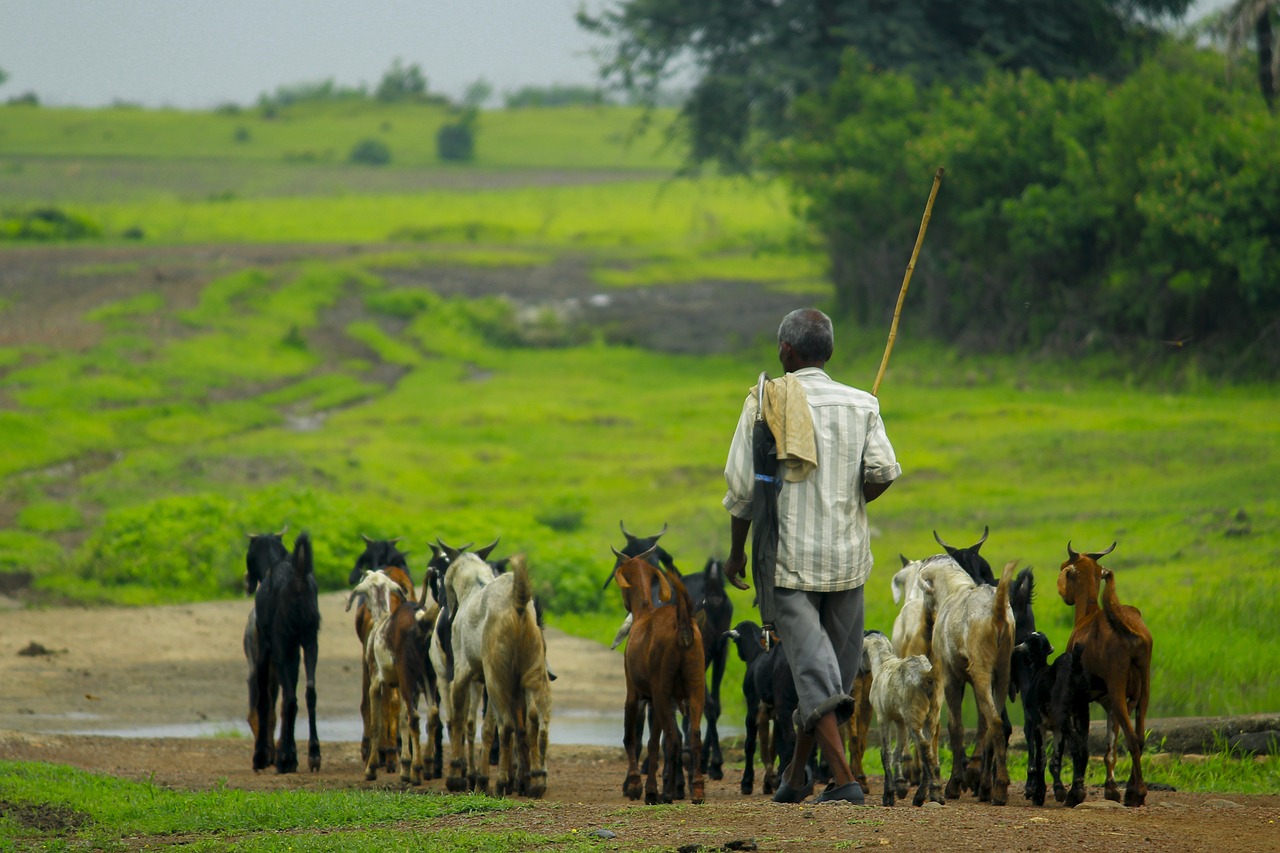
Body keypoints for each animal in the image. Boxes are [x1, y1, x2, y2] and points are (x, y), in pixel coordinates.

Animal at [248, 527, 320, 773]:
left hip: (279, 642)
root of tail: (298, 578)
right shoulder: (295, 649)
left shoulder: (264, 647)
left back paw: (285, 759)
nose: (247, 580)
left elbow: (264, 699)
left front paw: (261, 756)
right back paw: (313, 755)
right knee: (309, 691)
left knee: (289, 698)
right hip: (310, 638)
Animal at [611, 545, 706, 804]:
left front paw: (636, 786)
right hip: (696, 685)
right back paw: (697, 791)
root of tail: (683, 627)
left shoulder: (635, 691)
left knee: (673, 738)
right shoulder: (656, 698)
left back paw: (666, 792)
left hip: (662, 686)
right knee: (693, 735)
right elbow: (653, 741)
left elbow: (631, 737)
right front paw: (651, 788)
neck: (644, 611)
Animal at [865, 625, 947, 804]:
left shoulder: (883, 717)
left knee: (923, 746)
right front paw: (901, 786)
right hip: (931, 714)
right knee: (930, 749)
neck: (883, 663)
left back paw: (928, 793)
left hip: (913, 715)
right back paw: (929, 793)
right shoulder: (899, 720)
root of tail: (926, 674)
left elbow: (886, 753)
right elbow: (898, 750)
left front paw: (889, 793)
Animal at [1054, 540, 1157, 809]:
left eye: (1065, 567)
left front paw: (1076, 793)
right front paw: (1111, 790)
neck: (1088, 616)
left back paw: (1136, 792)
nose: (1064, 596)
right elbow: (1110, 747)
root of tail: (1130, 631)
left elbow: (1081, 745)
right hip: (1143, 690)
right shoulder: (1108, 702)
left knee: (1132, 739)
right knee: (1139, 737)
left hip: (1118, 687)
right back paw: (1133, 789)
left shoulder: (1080, 698)